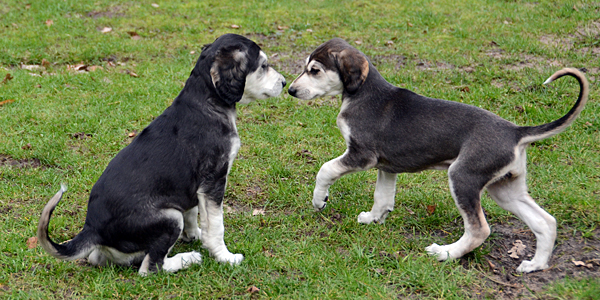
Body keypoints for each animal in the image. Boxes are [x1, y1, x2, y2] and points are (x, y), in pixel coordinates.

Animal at [37, 34, 286, 276]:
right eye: (263, 66)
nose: (284, 83)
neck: (205, 100)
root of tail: (92, 229)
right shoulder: (213, 180)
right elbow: (216, 225)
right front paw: (225, 257)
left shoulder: (194, 188)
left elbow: (193, 212)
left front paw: (194, 235)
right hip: (169, 218)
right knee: (150, 268)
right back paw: (188, 259)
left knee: (101, 259)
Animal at [288, 37, 588, 272]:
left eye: (314, 70)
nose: (290, 90)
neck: (363, 93)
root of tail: (515, 131)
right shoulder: (387, 167)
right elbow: (382, 198)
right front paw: (373, 219)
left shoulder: (362, 156)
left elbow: (325, 169)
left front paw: (319, 199)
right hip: (505, 189)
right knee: (545, 222)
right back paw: (535, 265)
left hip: (463, 177)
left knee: (479, 229)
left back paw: (445, 253)